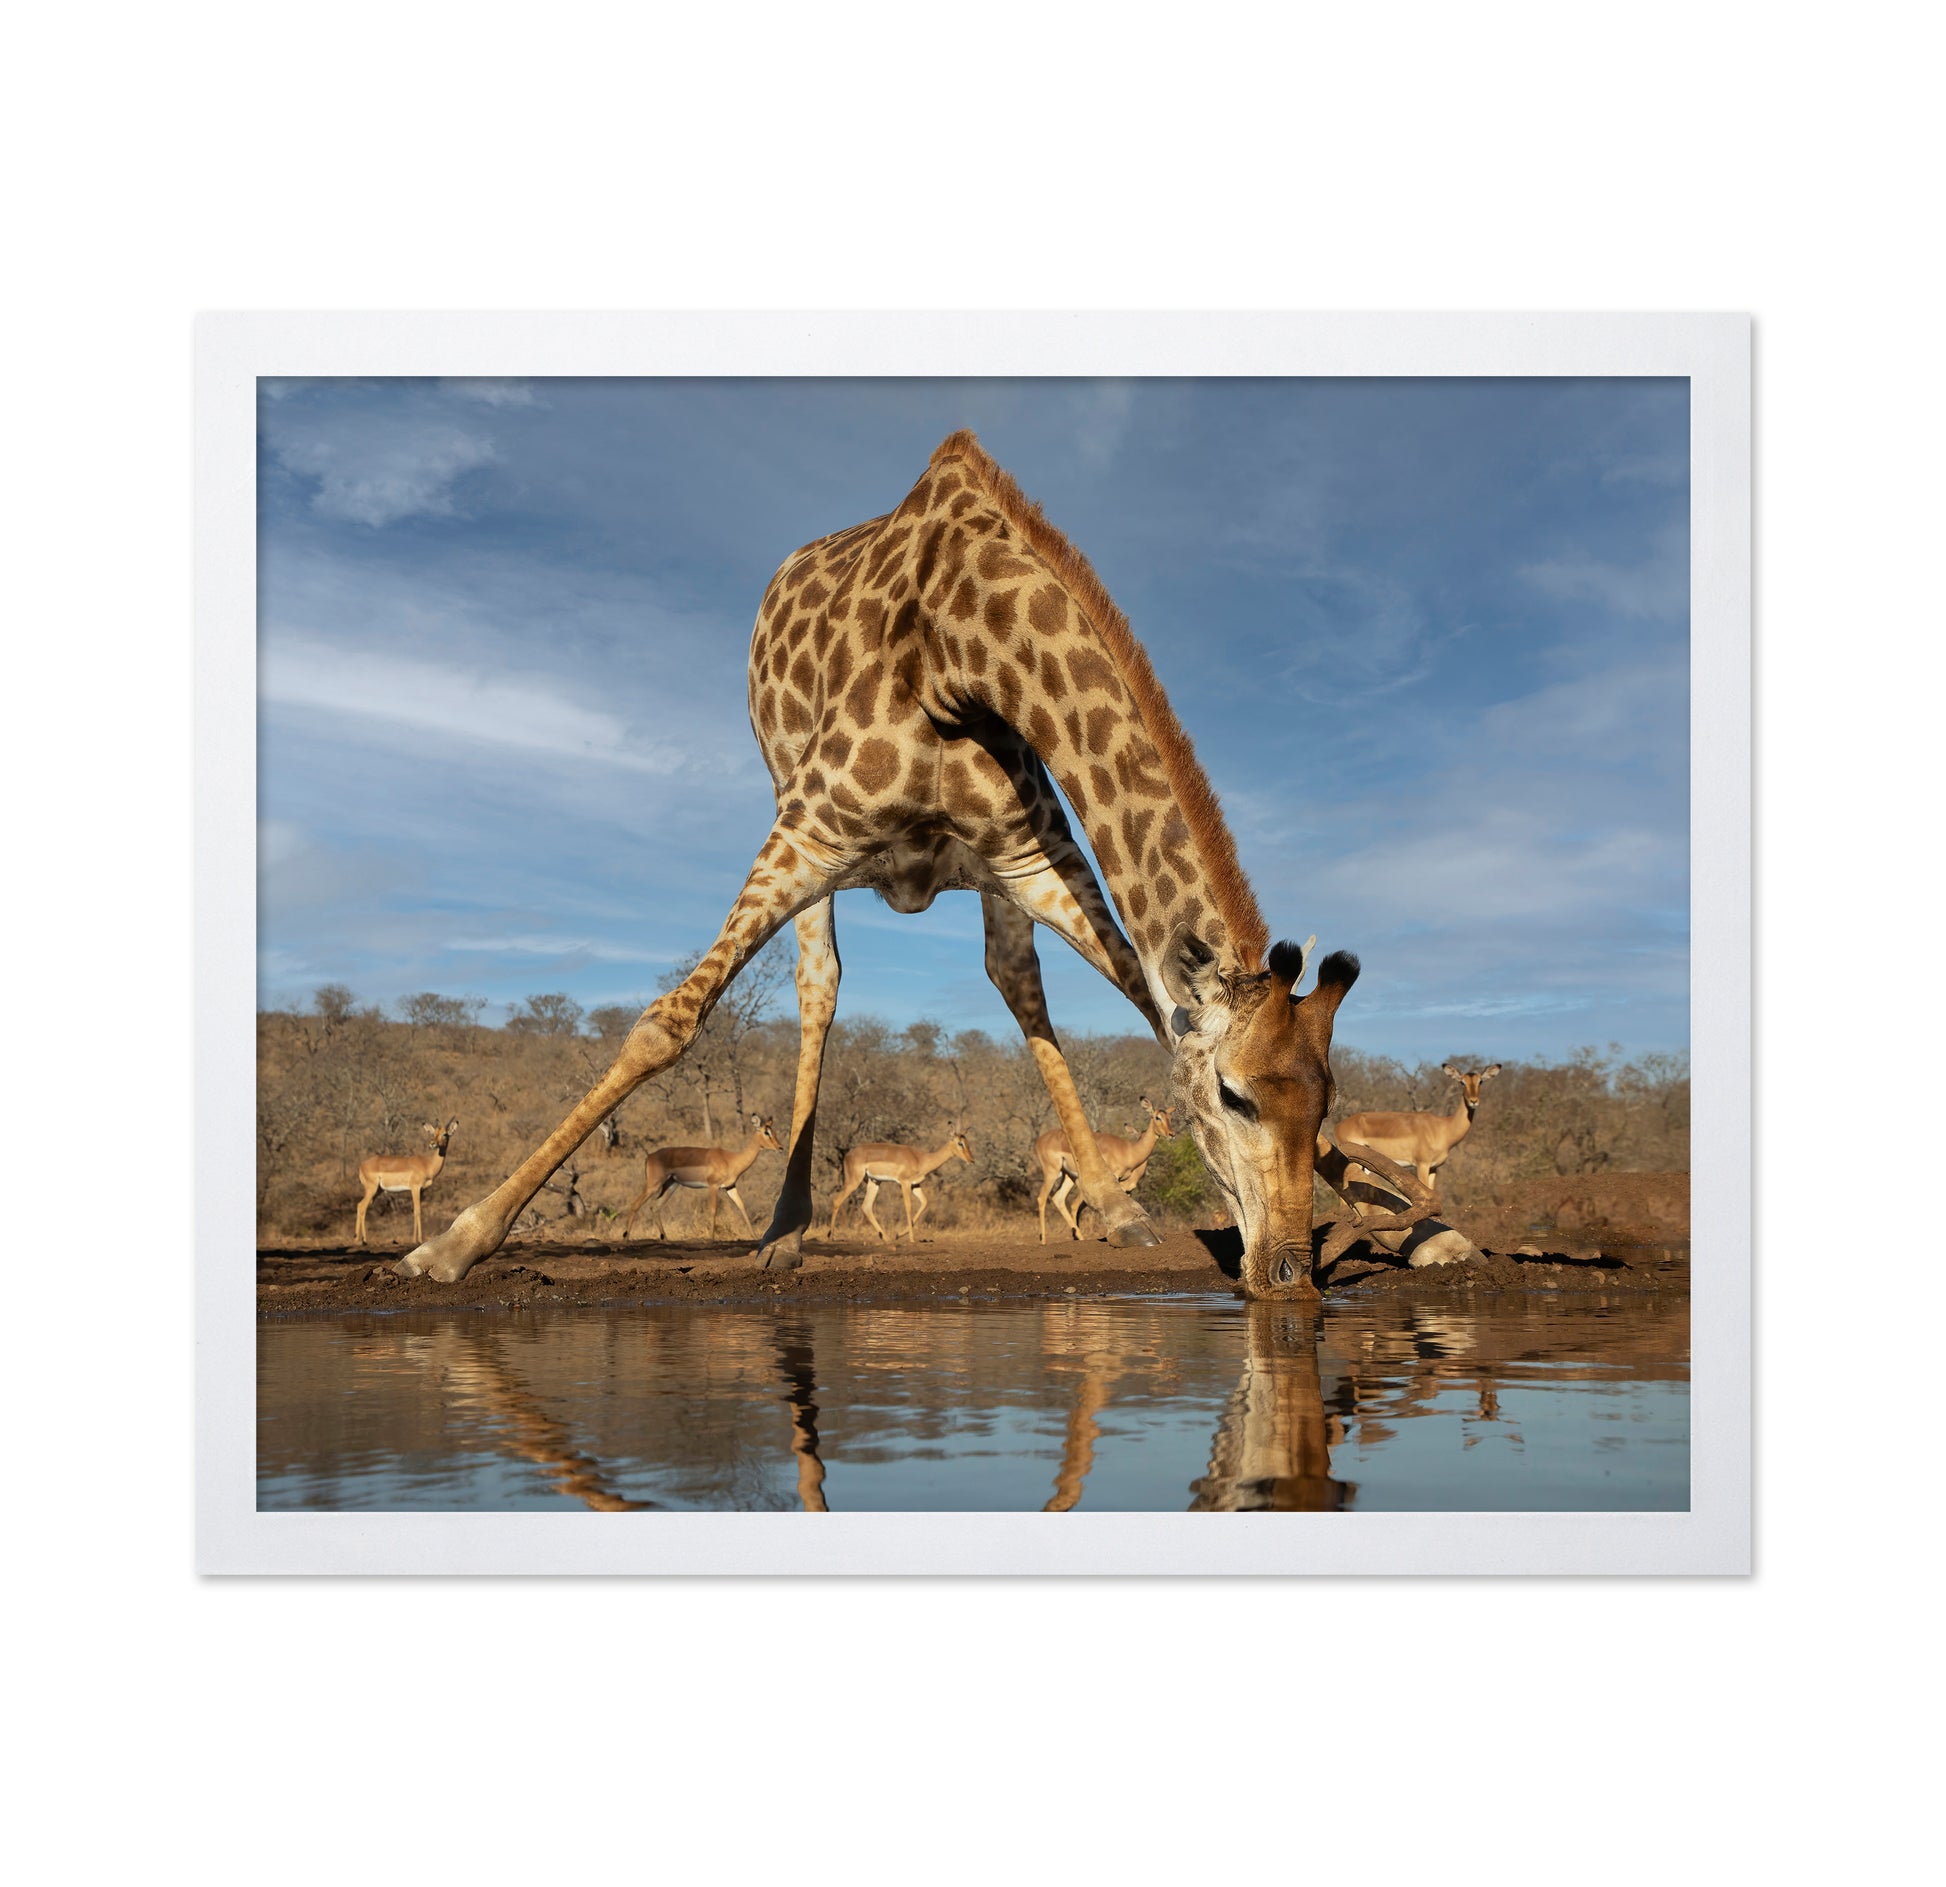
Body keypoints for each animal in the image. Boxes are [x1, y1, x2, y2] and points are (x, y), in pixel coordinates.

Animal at [395, 431, 1358, 1300]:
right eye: (1234, 1096)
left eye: (1327, 1100)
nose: (1287, 1273)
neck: (965, 647)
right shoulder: (812, 829)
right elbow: (667, 1023)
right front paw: (454, 1242)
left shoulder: (1034, 857)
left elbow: (1142, 995)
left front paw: (1380, 1216)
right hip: (794, 813)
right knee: (818, 987)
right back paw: (783, 1231)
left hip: (988, 880)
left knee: (1015, 980)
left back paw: (1114, 1207)